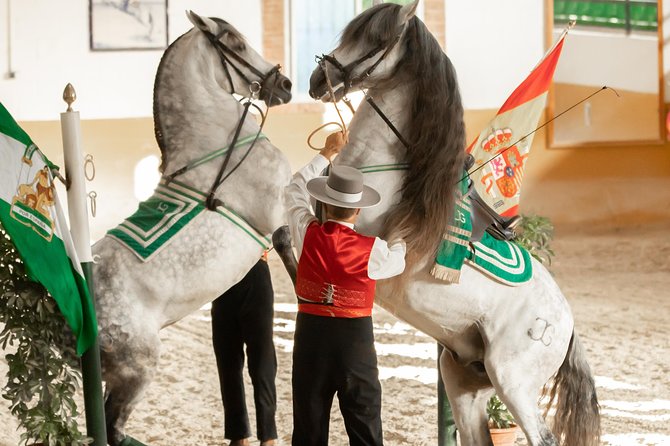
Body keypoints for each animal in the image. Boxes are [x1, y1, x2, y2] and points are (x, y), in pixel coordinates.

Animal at [92, 11, 294, 446]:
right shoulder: (278, 213)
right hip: (137, 370)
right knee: (114, 427)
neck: (217, 144)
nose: (285, 84)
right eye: (236, 43)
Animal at [312, 1, 604, 444]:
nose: (318, 79)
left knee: (543, 436)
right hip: (463, 379)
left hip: (513, 381)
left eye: (378, 40)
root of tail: (567, 327)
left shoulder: (364, 237)